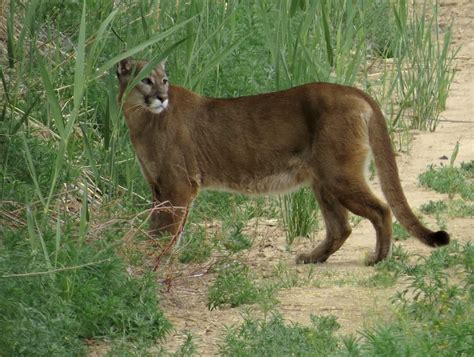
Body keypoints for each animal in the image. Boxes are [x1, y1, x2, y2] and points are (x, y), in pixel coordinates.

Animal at [116, 58, 450, 264]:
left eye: (164, 80)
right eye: (145, 80)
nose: (162, 97)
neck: (139, 120)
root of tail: (352, 90)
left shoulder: (178, 186)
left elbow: (167, 231)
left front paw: (155, 263)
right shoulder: (159, 188)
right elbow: (156, 227)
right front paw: (145, 258)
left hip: (339, 175)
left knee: (380, 210)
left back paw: (378, 258)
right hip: (323, 180)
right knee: (340, 226)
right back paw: (313, 257)